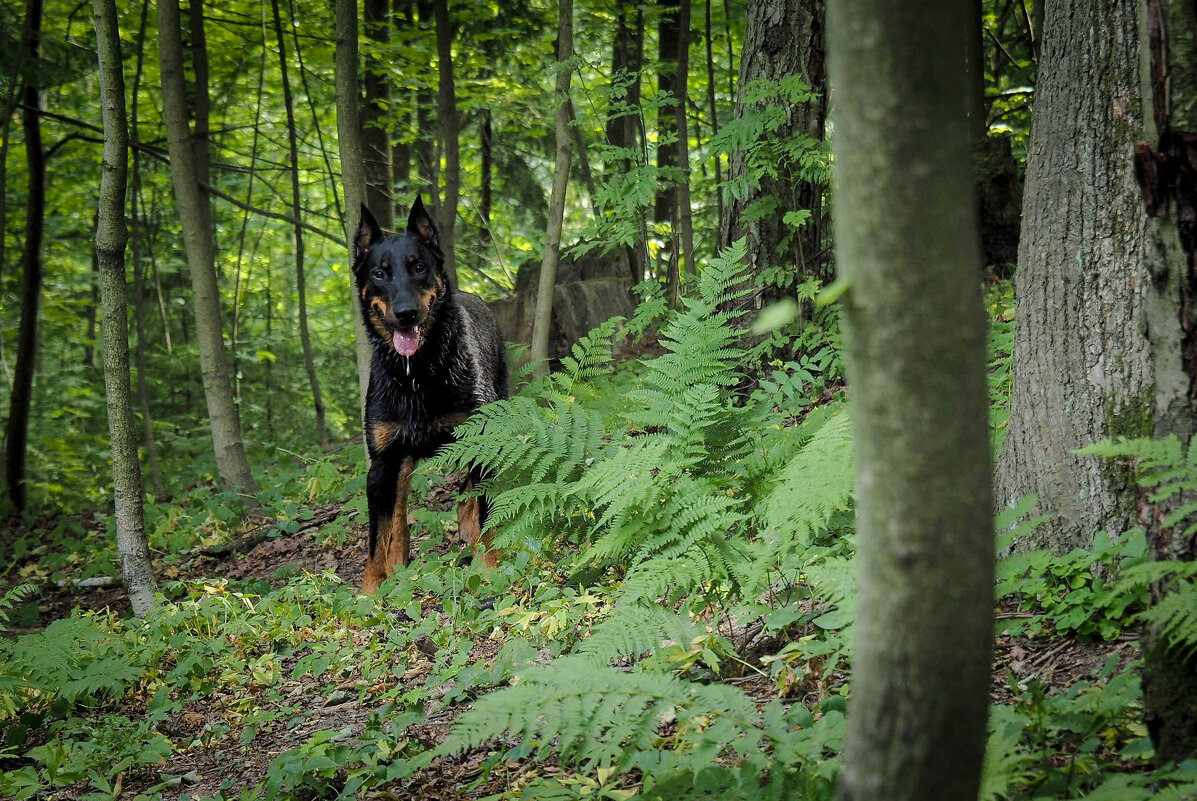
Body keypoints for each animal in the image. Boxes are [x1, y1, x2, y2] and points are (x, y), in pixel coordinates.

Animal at [351, 196, 507, 591]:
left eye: (419, 267)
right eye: (379, 274)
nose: (406, 313)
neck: (417, 374)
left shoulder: (480, 440)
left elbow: (483, 510)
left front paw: (488, 568)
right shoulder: (382, 464)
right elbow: (377, 537)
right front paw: (371, 591)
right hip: (401, 461)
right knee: (401, 510)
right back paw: (399, 562)